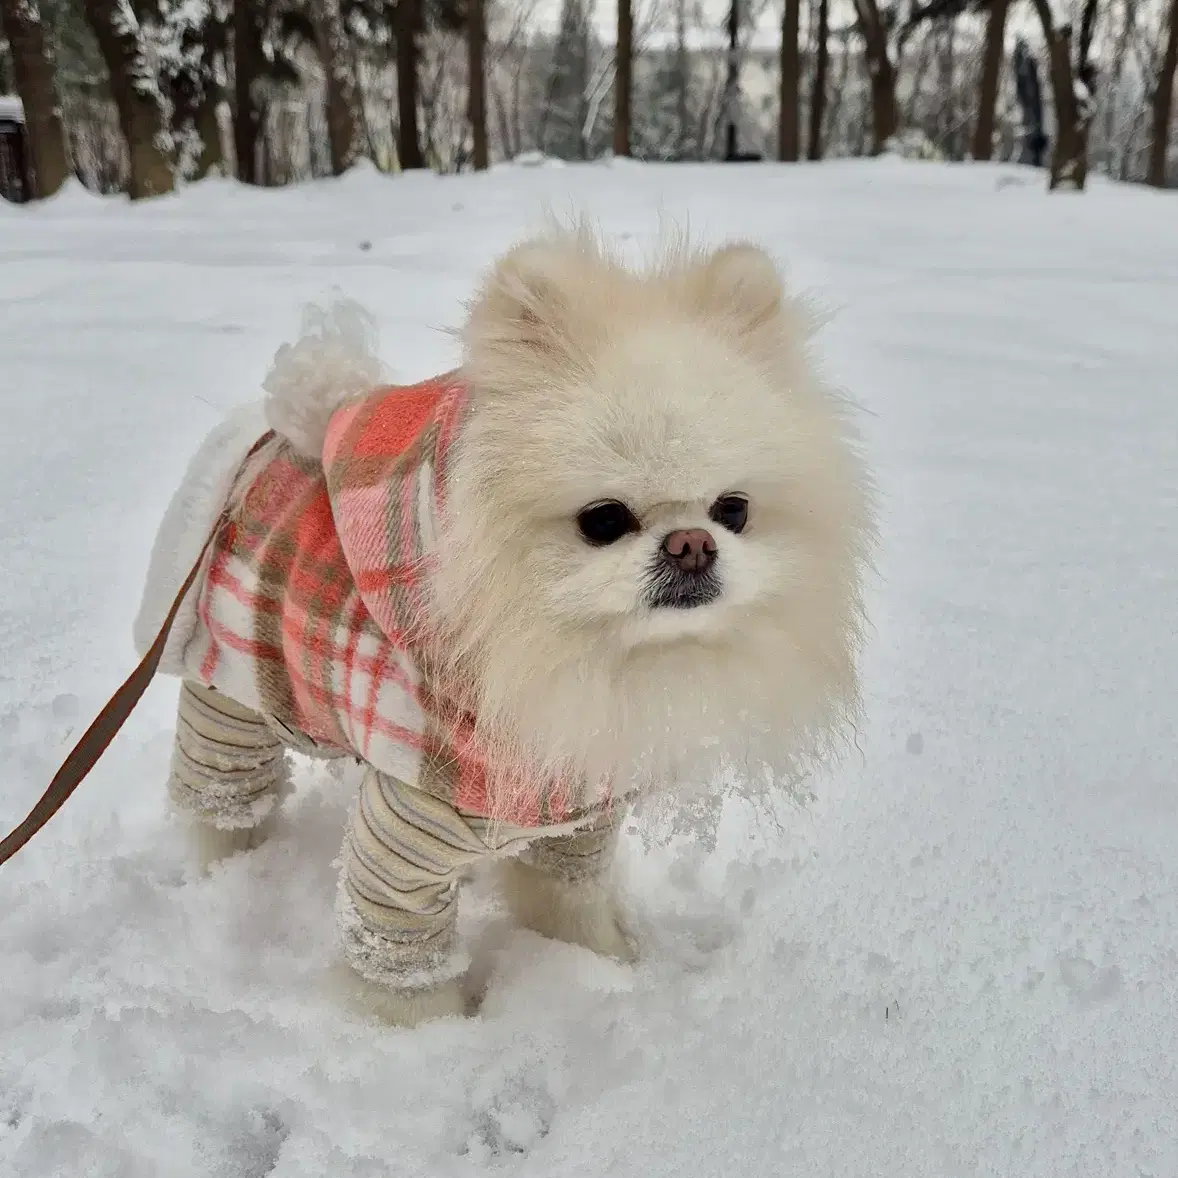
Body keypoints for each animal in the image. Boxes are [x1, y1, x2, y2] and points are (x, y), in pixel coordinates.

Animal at [137, 224, 876, 1027]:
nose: (691, 544)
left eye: (733, 510)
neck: (565, 653)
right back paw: (231, 873)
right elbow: (398, 957)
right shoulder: (407, 839)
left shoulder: (576, 820)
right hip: (230, 695)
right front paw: (421, 1036)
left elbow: (567, 902)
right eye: (604, 519)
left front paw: (597, 967)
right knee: (224, 801)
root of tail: (270, 440)